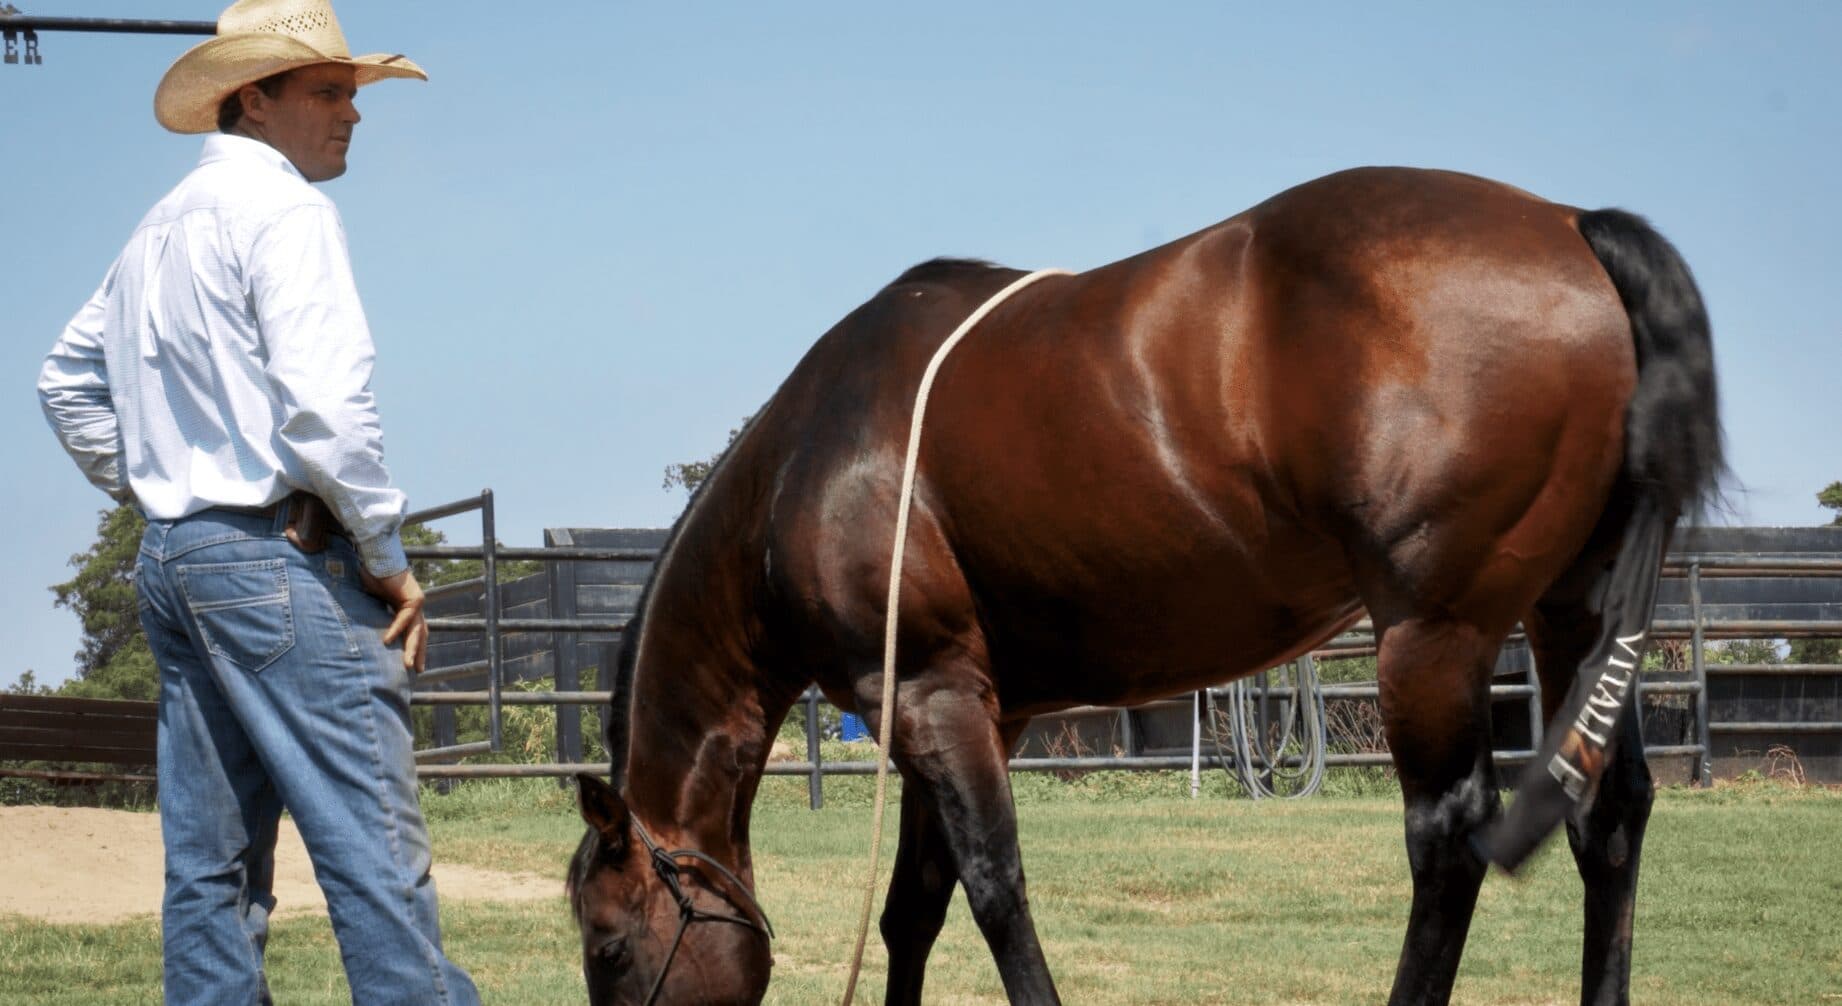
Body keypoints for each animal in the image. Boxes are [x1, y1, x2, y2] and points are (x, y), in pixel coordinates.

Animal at [566, 166, 1722, 1005]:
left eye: (609, 946)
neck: (815, 456)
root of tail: (1574, 227)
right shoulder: (968, 708)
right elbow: (916, 909)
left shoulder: (928, 695)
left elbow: (993, 891)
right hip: (1570, 613)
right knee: (1608, 814)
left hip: (1433, 636)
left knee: (1447, 836)